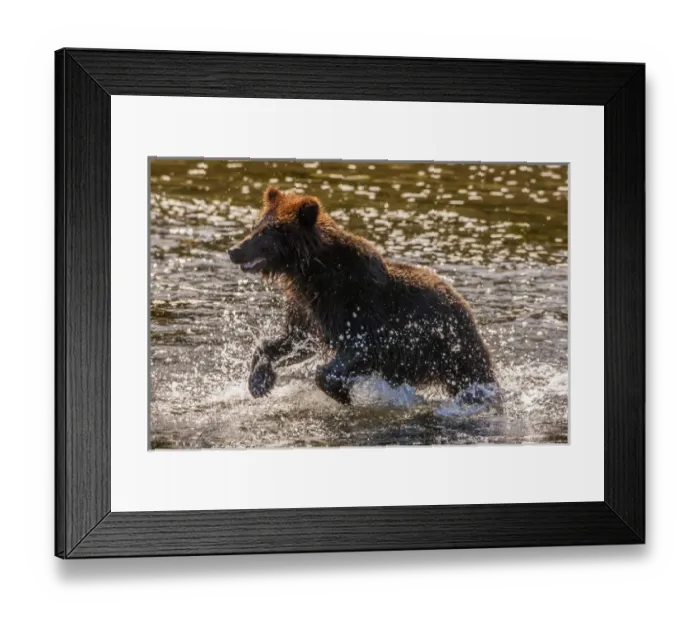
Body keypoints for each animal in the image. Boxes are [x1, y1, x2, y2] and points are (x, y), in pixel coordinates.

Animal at [228, 186, 496, 405]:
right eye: (255, 226)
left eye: (269, 231)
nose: (234, 250)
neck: (311, 271)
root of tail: (465, 305)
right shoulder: (308, 310)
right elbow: (292, 339)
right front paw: (259, 381)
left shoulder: (356, 306)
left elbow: (356, 348)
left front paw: (342, 393)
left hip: (453, 347)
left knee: (474, 377)